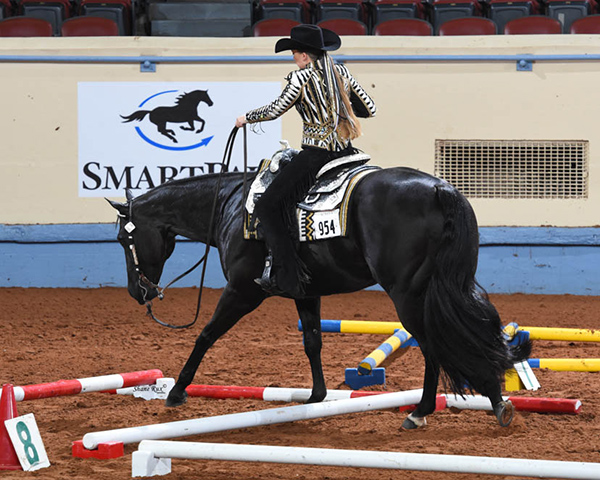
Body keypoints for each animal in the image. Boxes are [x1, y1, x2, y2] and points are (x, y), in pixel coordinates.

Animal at [108, 164, 528, 428]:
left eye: (124, 239)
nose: (137, 292)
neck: (231, 206)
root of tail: (441, 189)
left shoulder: (242, 291)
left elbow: (206, 335)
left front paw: (177, 391)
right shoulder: (305, 292)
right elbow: (312, 341)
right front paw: (315, 397)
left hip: (408, 295)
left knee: (434, 345)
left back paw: (423, 410)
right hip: (447, 287)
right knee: (472, 330)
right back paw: (494, 399)